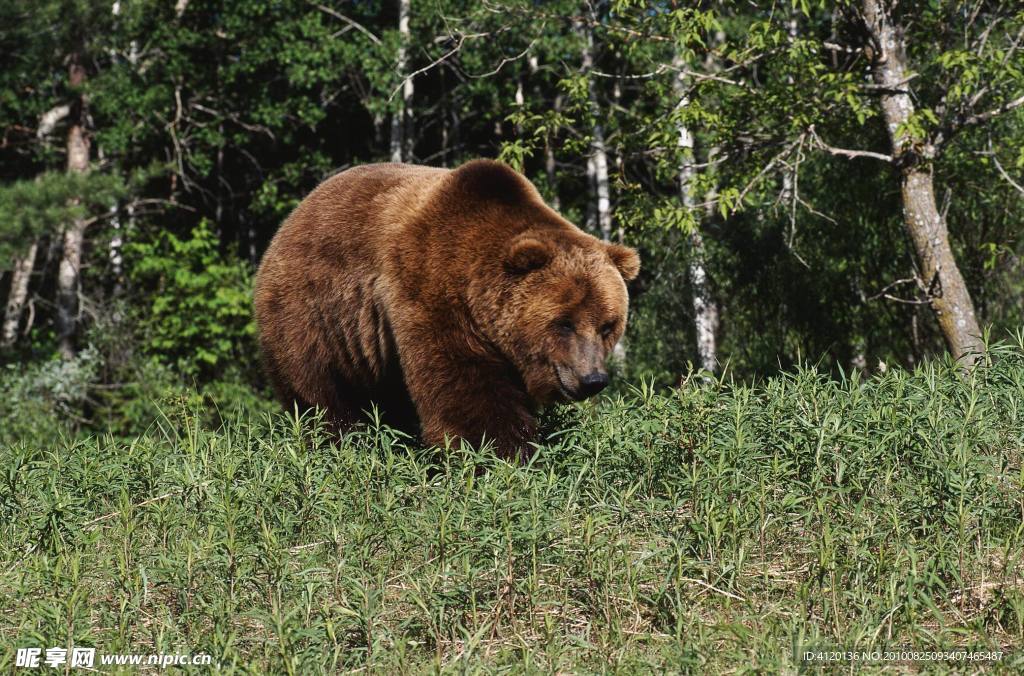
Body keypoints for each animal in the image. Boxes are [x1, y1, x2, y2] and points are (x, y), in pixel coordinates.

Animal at [253, 158, 638, 458]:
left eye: (608, 325)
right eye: (564, 323)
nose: (593, 379)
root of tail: (290, 220)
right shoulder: (432, 292)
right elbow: (465, 390)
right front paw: (502, 454)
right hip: (313, 317)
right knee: (320, 394)